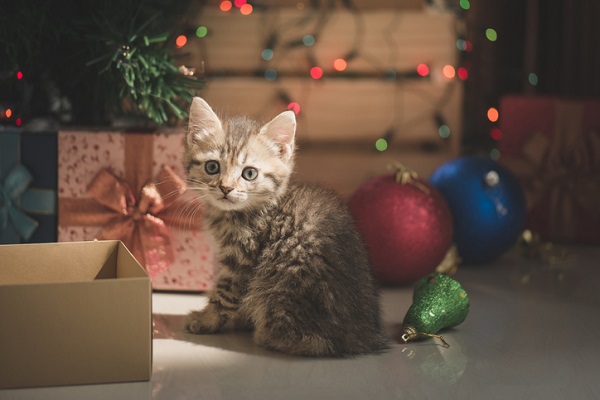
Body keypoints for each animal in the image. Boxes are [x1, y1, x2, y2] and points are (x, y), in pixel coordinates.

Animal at [183, 97, 390, 356]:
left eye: (249, 173)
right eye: (212, 167)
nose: (226, 188)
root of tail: (362, 337)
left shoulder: (243, 259)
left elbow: (225, 293)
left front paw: (206, 320)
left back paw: (265, 334)